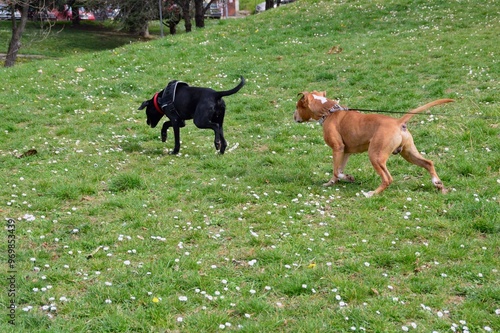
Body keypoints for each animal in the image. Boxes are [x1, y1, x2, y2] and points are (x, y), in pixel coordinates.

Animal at [294, 91, 456, 196]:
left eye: (297, 106)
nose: (293, 116)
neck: (328, 111)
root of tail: (398, 122)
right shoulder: (345, 151)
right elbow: (338, 169)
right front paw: (332, 182)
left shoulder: (337, 148)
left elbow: (336, 170)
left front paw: (346, 178)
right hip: (409, 153)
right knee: (428, 163)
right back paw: (438, 185)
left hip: (375, 156)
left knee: (388, 179)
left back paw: (372, 193)